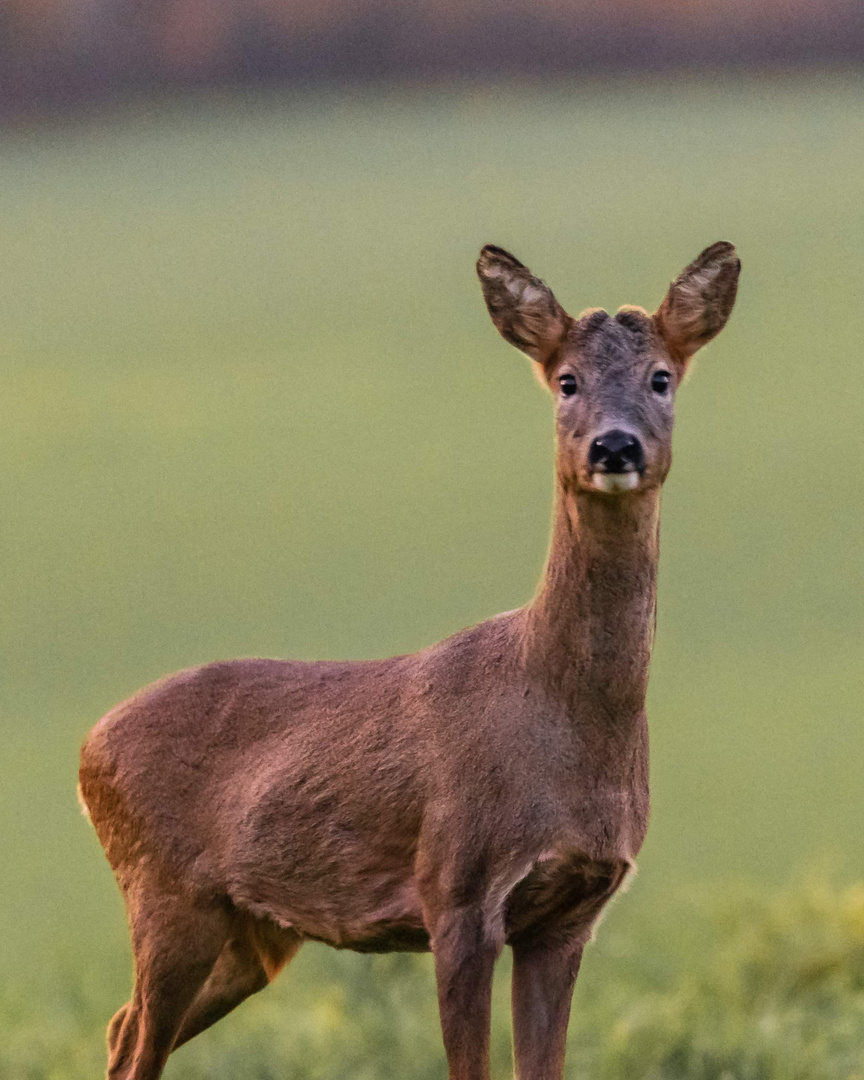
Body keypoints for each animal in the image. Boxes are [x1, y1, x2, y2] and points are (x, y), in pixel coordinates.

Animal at [81, 243, 738, 1080]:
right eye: (567, 380)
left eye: (661, 376)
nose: (614, 446)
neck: (557, 708)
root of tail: (88, 748)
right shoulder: (454, 889)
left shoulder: (568, 916)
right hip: (166, 894)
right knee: (135, 1042)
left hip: (252, 933)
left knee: (118, 1027)